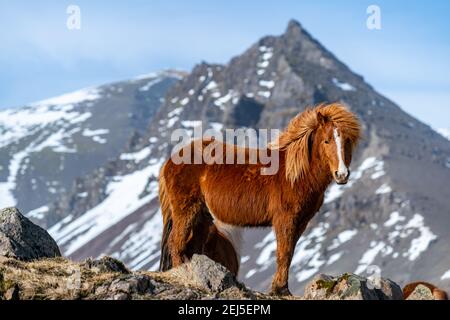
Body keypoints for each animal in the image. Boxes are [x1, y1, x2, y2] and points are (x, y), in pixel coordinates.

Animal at [159, 102, 362, 296]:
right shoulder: (284, 219)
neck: (294, 175)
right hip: (186, 211)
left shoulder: (301, 222)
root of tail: (170, 161)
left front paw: (280, 287)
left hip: (202, 218)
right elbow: (284, 253)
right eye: (326, 140)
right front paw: (280, 289)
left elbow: (290, 253)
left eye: (347, 141)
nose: (342, 175)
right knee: (176, 243)